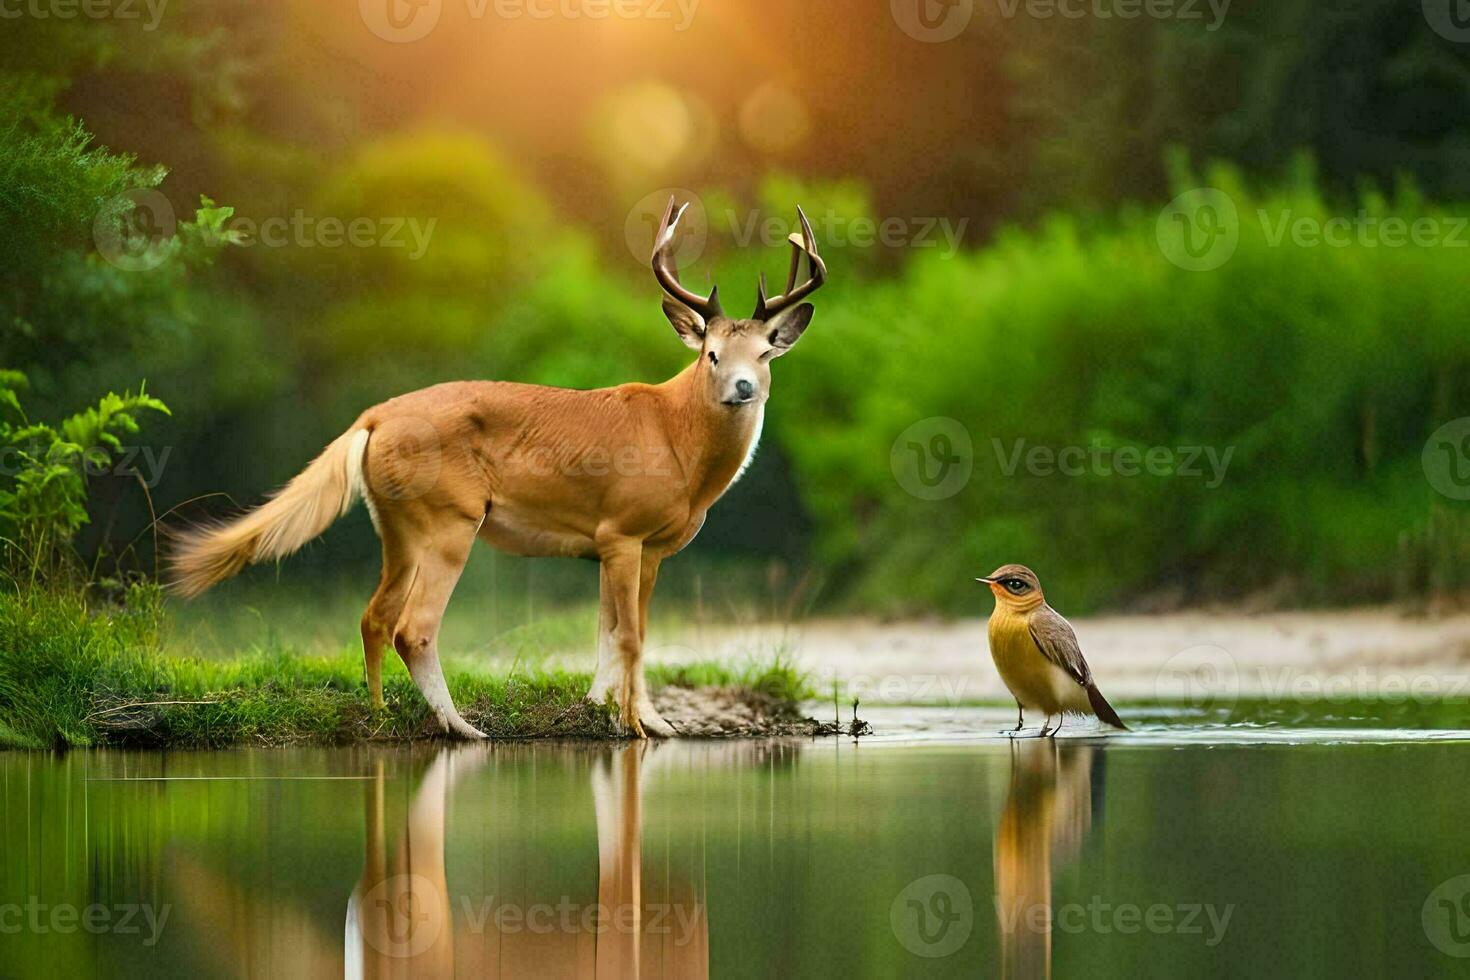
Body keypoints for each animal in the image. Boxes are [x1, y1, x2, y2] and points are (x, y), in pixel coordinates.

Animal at [171, 196, 829, 734]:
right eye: (712, 353)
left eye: (765, 353)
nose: (742, 387)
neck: (679, 441)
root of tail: (372, 418)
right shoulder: (624, 530)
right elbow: (632, 635)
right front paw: (636, 728)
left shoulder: (633, 546)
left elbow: (610, 631)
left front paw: (630, 716)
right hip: (450, 518)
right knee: (415, 626)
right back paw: (462, 728)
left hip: (397, 525)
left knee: (373, 616)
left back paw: (381, 715)